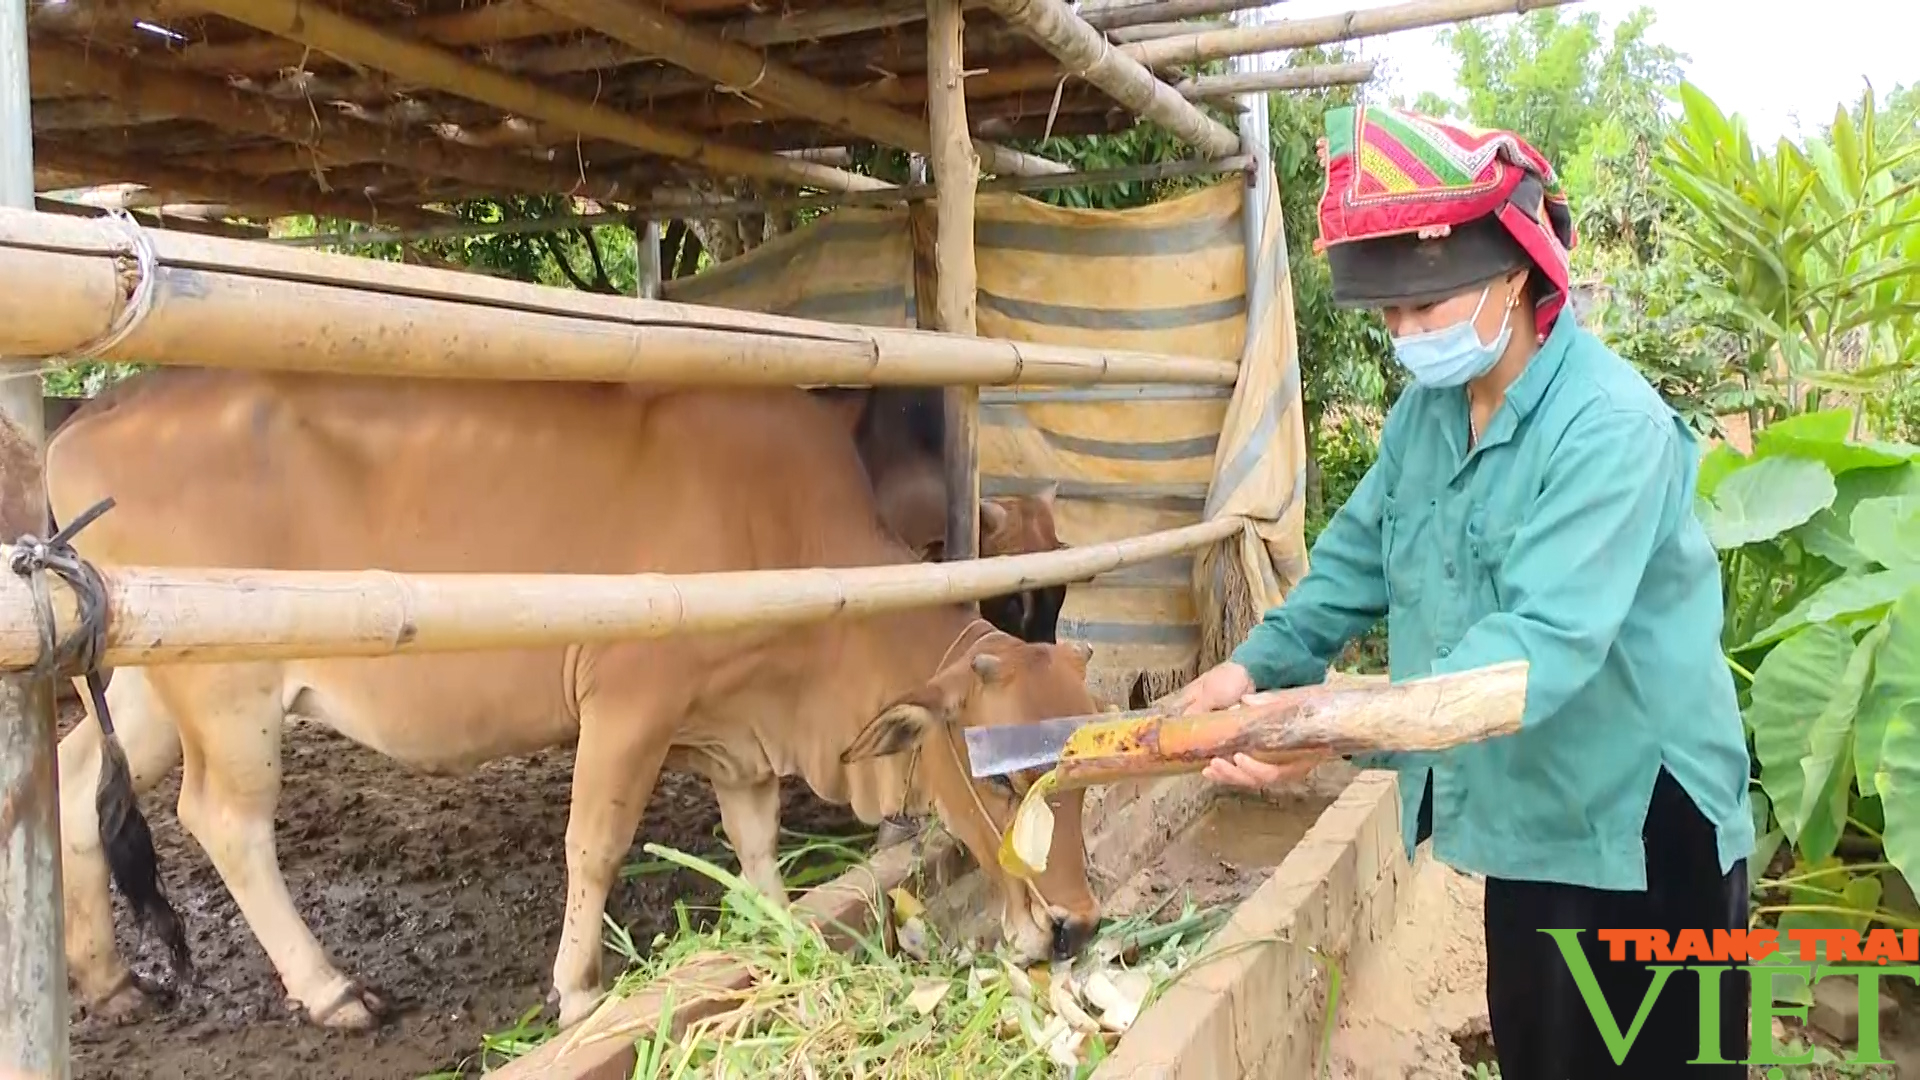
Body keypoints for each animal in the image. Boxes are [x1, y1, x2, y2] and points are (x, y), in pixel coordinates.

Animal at [45, 367, 1098, 1022]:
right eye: (1004, 781)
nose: (1074, 926)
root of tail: (88, 416)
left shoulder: (740, 727)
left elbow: (755, 837)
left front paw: (773, 927)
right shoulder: (631, 703)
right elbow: (595, 844)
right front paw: (581, 988)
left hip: (152, 679)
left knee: (73, 780)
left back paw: (109, 981)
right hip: (230, 688)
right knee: (224, 820)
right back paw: (332, 990)